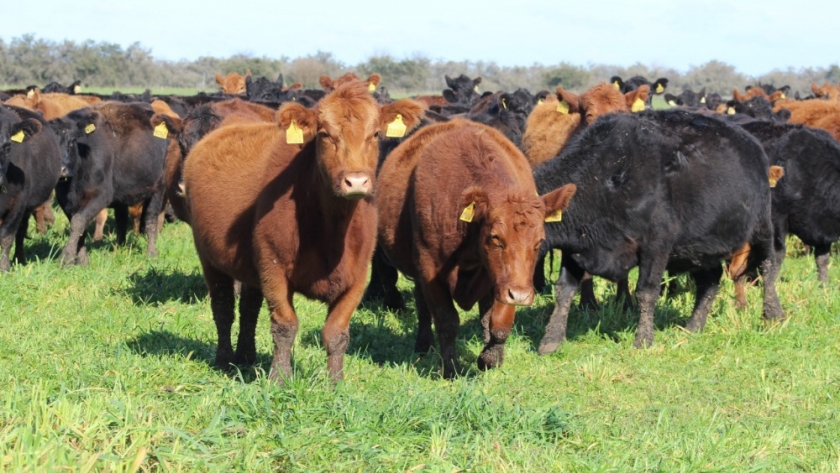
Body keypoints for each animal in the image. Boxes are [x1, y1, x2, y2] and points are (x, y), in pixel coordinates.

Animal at [0, 105, 61, 272]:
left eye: (7, 147)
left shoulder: (18, 204)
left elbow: (6, 237)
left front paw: (4, 268)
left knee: (21, 232)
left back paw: (19, 259)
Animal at [55, 102, 167, 266]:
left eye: (71, 142)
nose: (60, 170)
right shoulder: (65, 201)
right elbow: (79, 225)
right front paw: (82, 261)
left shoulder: (101, 195)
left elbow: (78, 222)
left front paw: (66, 258)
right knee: (121, 219)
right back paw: (120, 247)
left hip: (157, 189)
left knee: (150, 220)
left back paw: (151, 253)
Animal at [378, 118, 576, 376]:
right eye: (495, 238)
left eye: (539, 241)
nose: (521, 295)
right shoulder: (430, 269)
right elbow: (447, 321)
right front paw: (451, 369)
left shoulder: (504, 280)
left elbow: (500, 323)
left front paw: (489, 359)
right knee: (423, 305)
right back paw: (423, 345)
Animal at [536, 109, 784, 350]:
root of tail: (751, 143)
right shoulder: (576, 248)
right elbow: (564, 290)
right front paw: (551, 340)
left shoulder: (656, 244)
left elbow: (646, 291)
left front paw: (643, 340)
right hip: (702, 246)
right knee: (710, 280)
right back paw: (693, 327)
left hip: (761, 226)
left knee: (768, 265)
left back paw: (773, 315)